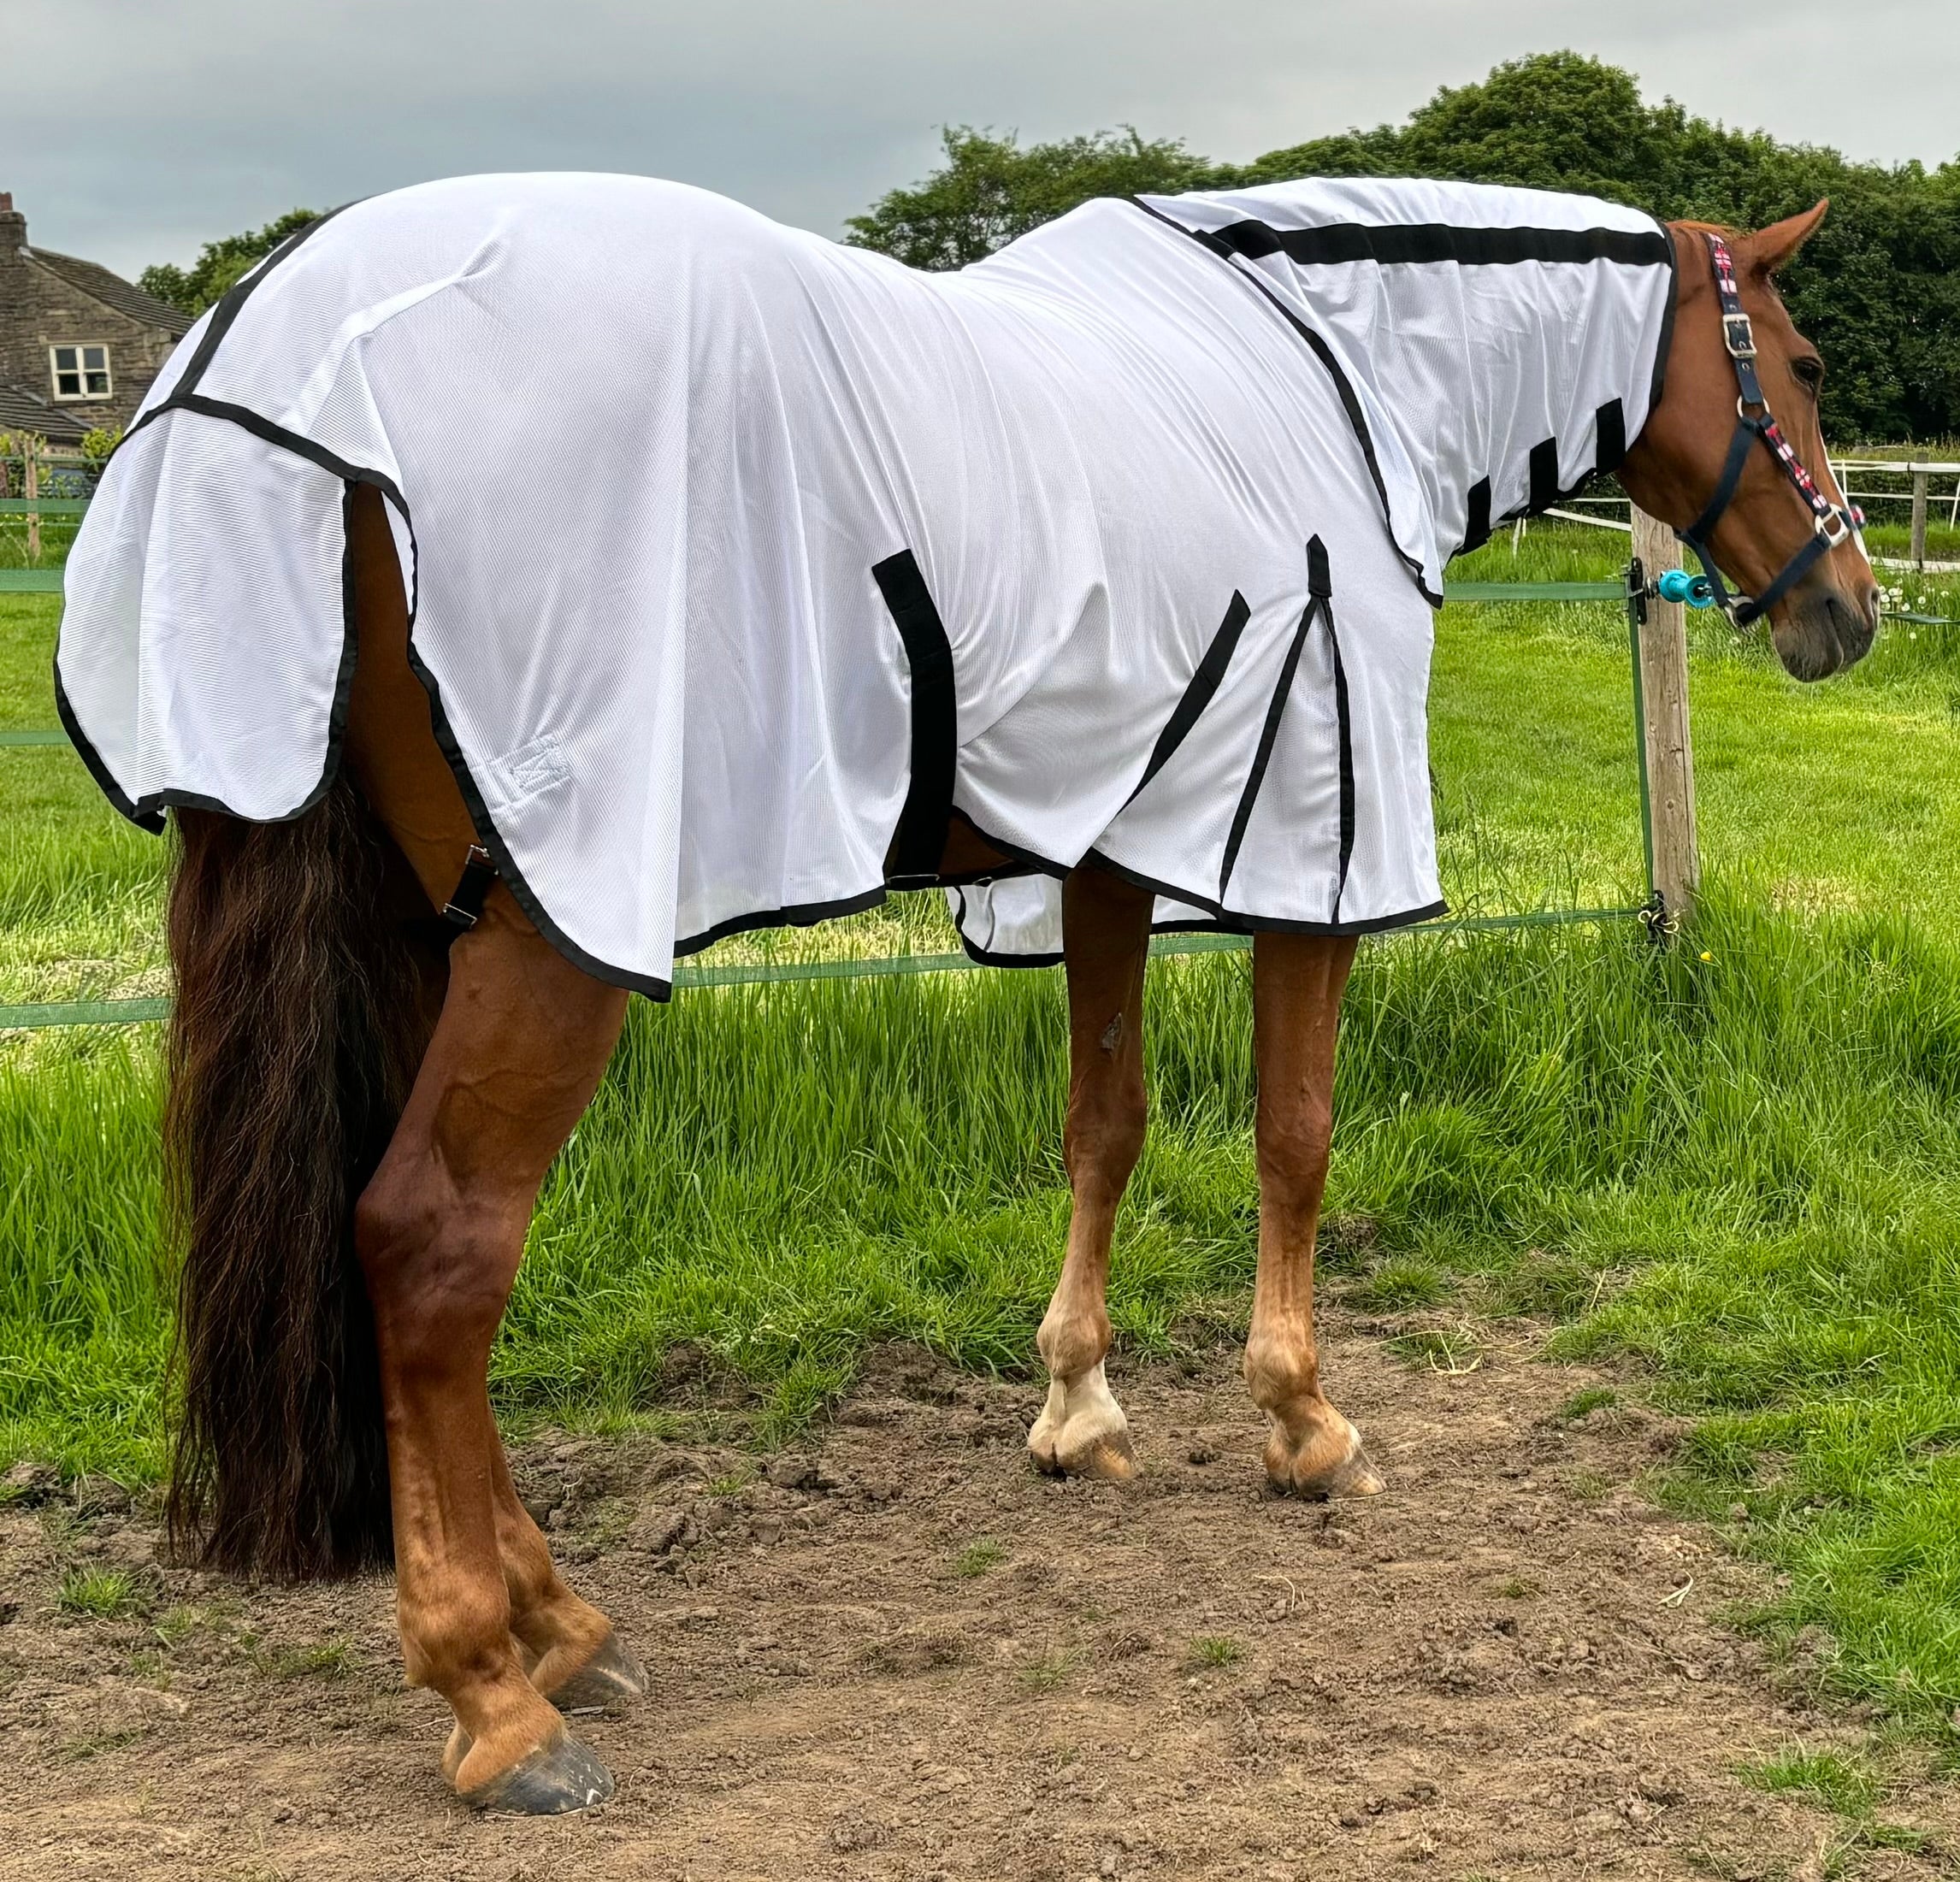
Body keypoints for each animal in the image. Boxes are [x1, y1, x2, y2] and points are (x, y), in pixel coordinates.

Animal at [160, 205, 1874, 1811]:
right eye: (1797, 366)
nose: (1849, 608)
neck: (1339, 373)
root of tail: (265, 374)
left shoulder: (1112, 849)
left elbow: (1103, 1123)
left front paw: (1077, 1407)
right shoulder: (1308, 853)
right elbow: (1296, 1134)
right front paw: (1302, 1424)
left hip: (430, 923)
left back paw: (565, 1628)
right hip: (554, 934)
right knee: (434, 1247)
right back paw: (496, 1695)